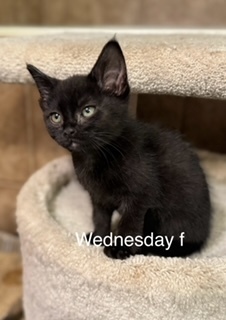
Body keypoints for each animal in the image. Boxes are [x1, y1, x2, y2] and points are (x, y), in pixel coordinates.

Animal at [27, 40, 211, 260]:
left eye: (87, 110)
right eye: (56, 117)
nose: (69, 130)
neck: (96, 157)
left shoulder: (140, 195)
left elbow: (129, 223)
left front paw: (120, 248)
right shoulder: (97, 197)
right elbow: (99, 216)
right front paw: (99, 237)